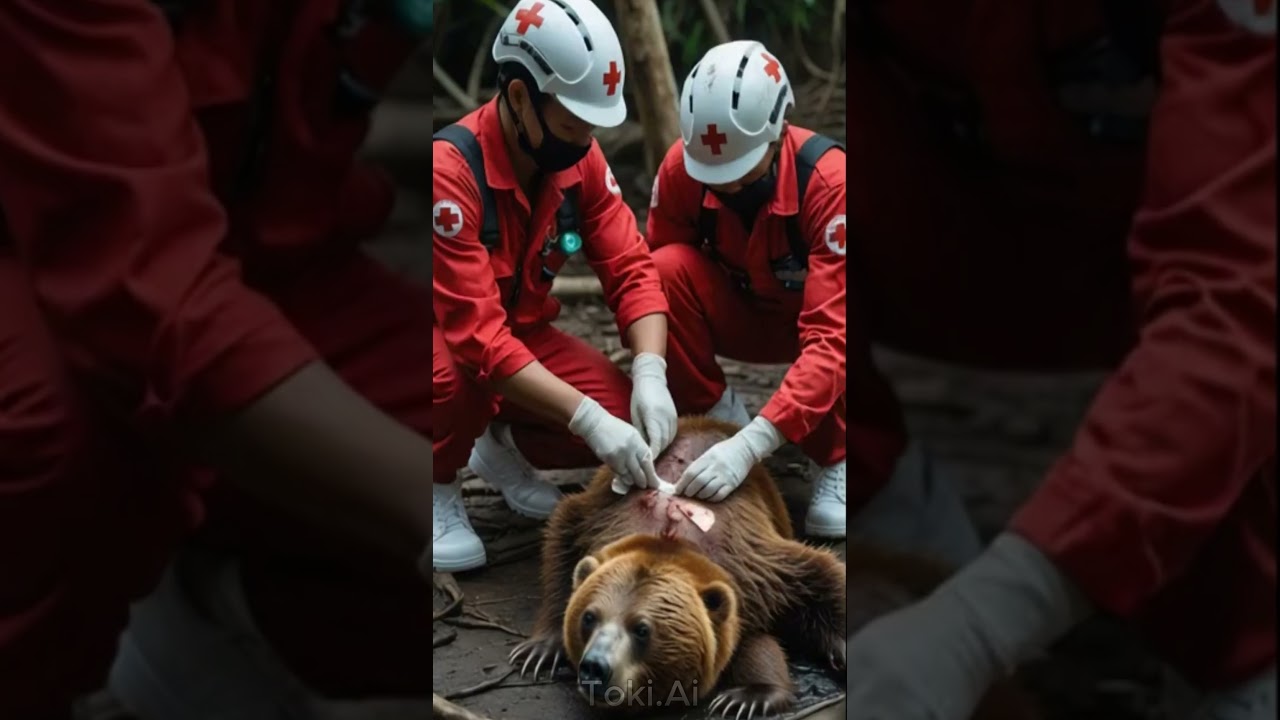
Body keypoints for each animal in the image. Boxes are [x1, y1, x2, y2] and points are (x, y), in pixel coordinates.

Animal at [509, 416, 1041, 719]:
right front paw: (541, 648)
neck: (671, 540)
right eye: (589, 618)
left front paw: (750, 694)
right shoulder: (598, 520)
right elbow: (561, 544)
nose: (596, 669)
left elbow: (819, 577)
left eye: (643, 630)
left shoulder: (757, 566)